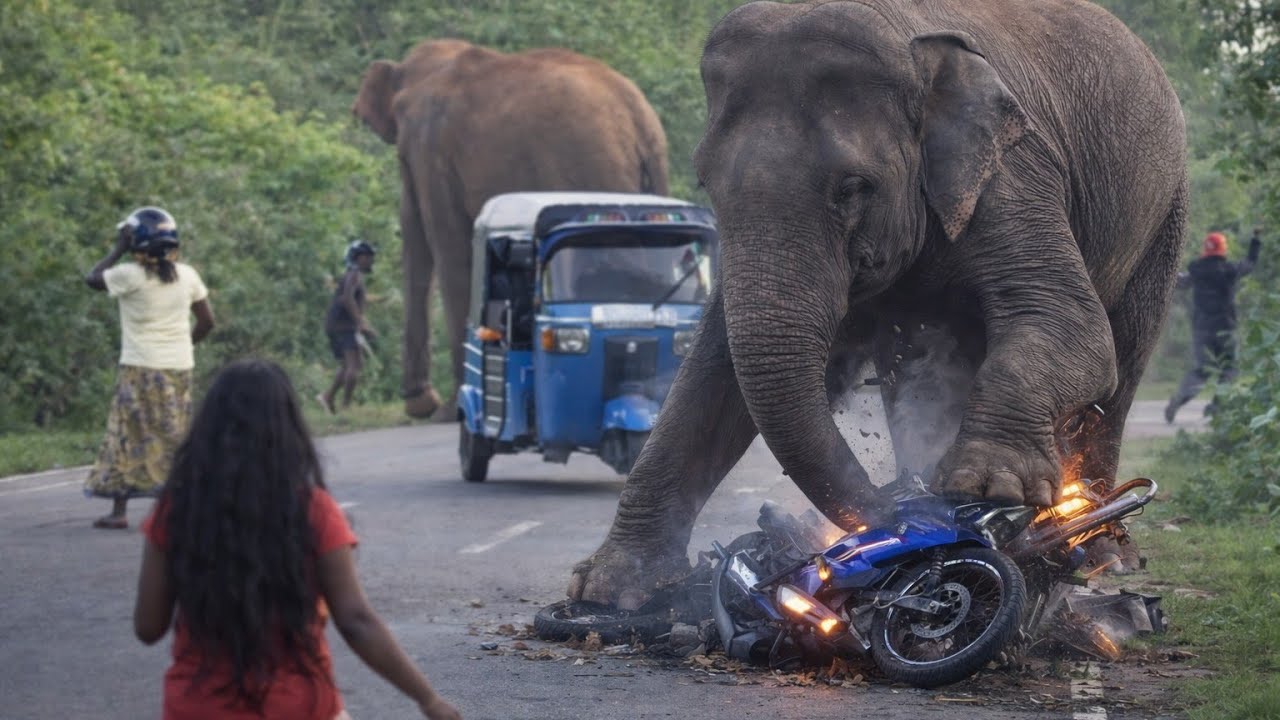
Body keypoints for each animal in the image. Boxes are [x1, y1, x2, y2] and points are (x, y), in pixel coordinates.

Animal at [354, 39, 669, 417]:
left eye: (402, 158)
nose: (420, 404)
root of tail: (639, 118)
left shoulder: (431, 152)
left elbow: (452, 251)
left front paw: (451, 410)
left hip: (592, 170)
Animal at [569, 0, 1187, 608]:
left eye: (852, 187)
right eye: (705, 183)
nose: (898, 514)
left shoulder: (1013, 174)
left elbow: (1072, 325)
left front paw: (989, 487)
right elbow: (713, 370)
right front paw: (608, 588)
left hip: (1166, 214)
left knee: (1122, 364)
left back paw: (1102, 550)